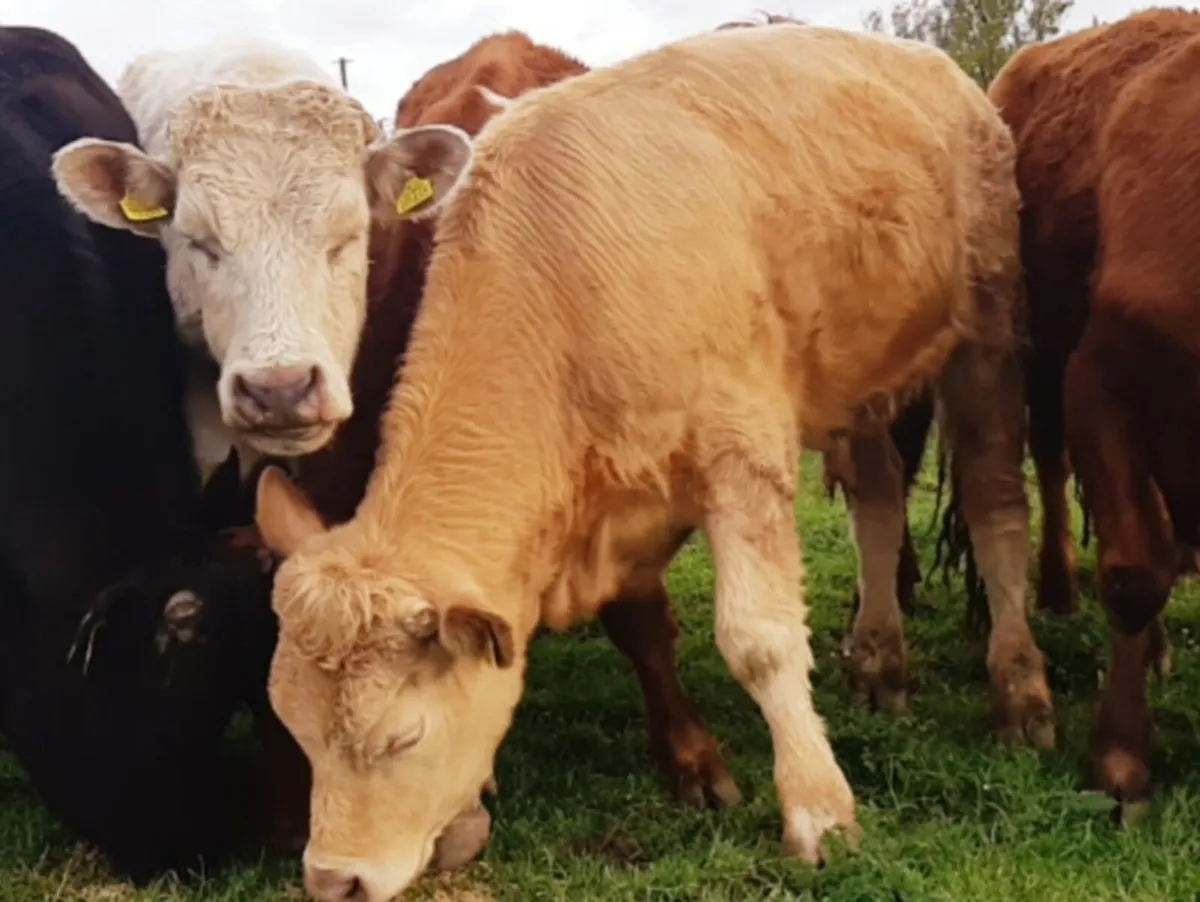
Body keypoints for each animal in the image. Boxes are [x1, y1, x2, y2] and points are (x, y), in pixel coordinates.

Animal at [255, 22, 1039, 901]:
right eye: (295, 727)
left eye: (403, 738)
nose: (333, 880)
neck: (564, 283)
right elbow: (640, 626)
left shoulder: (742, 457)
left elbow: (761, 641)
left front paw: (818, 808)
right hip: (858, 379)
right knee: (876, 501)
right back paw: (879, 661)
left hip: (986, 335)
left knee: (996, 504)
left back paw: (1020, 690)